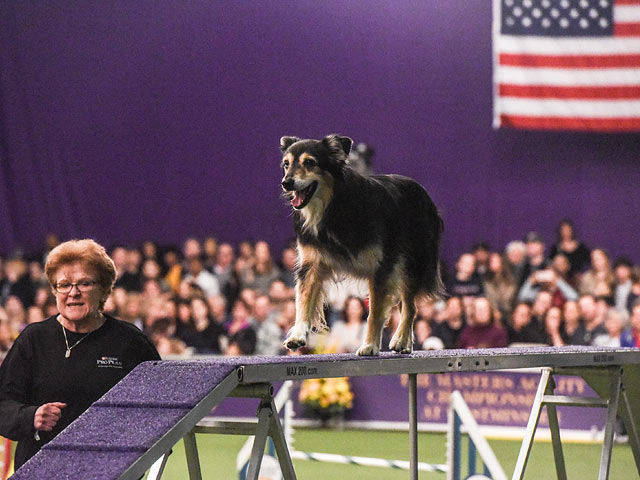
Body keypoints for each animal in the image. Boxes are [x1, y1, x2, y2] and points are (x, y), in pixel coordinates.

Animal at [280, 135, 444, 356]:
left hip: (412, 263)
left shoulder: (381, 268)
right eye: (286, 164)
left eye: (309, 162)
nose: (286, 183)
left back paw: (401, 339)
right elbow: (303, 301)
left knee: (410, 306)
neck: (333, 206)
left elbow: (374, 313)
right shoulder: (311, 264)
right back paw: (406, 342)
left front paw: (370, 345)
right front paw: (297, 336)